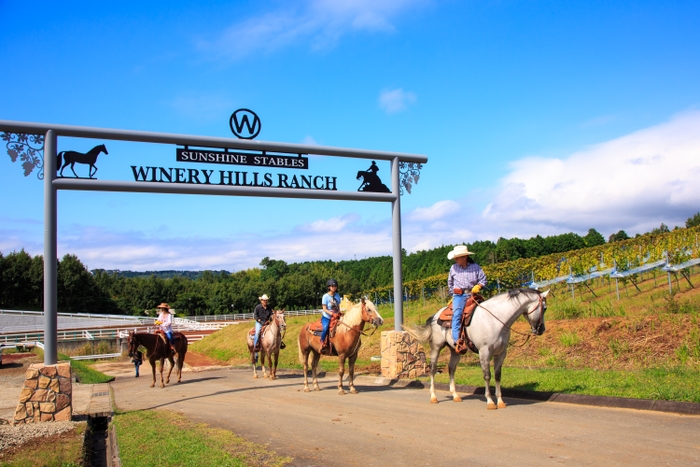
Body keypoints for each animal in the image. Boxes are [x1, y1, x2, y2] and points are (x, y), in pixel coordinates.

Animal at [404, 288, 548, 410]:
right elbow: (487, 375)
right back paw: (433, 397)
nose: (541, 330)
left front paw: (500, 401)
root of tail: (435, 315)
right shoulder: (484, 352)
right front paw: (490, 402)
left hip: (455, 350)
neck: (495, 320)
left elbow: (497, 375)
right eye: (545, 308)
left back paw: (455, 395)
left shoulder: (501, 353)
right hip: (436, 347)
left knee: (451, 368)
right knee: (433, 369)